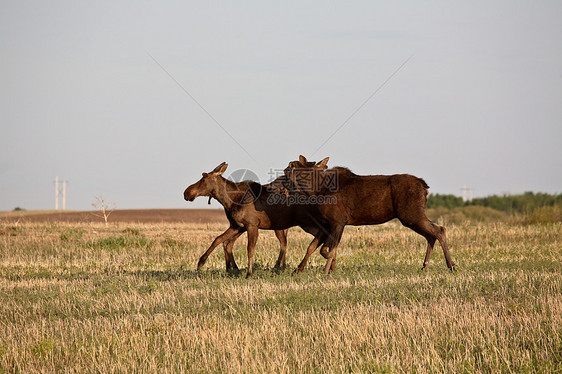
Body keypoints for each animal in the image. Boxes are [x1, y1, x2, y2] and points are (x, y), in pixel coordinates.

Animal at [182, 161, 330, 278]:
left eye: (203, 179)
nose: (186, 192)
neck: (230, 200)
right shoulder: (237, 225)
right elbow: (218, 239)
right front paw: (201, 262)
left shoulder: (251, 225)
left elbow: (249, 249)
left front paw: (249, 273)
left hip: (308, 223)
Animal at [284, 156, 456, 274]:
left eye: (292, 165)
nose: (286, 169)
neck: (316, 191)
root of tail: (425, 187)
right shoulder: (327, 223)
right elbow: (314, 247)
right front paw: (298, 270)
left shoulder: (338, 221)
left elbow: (330, 249)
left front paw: (326, 271)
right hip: (411, 217)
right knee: (431, 234)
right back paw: (425, 266)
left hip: (410, 214)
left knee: (439, 230)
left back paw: (451, 265)